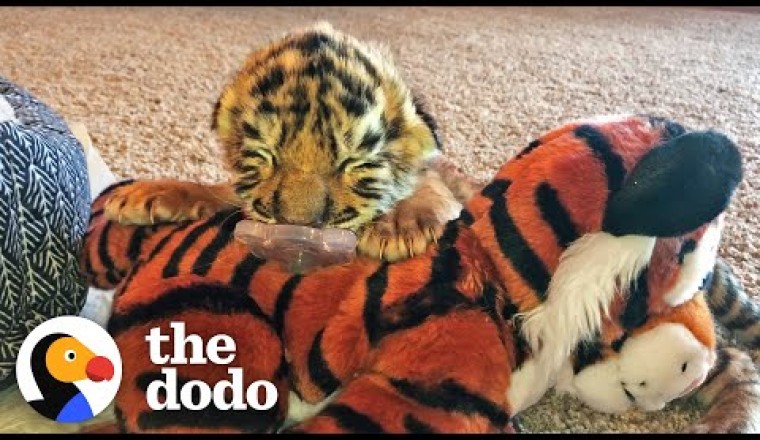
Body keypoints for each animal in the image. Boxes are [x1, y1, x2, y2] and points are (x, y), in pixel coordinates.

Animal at [101, 21, 479, 263]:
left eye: (354, 163)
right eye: (265, 155)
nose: (298, 229)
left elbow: (429, 181)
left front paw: (398, 226)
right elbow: (220, 190)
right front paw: (147, 193)